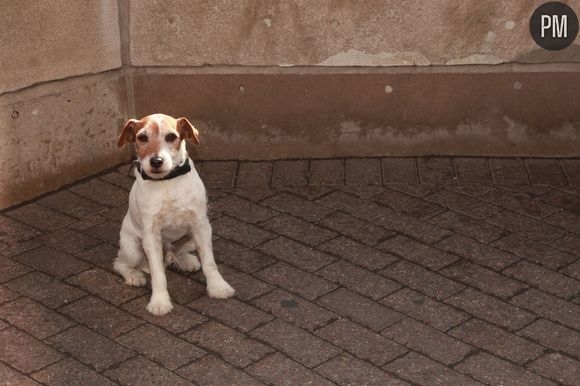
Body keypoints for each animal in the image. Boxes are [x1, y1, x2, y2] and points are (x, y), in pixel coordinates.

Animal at [113, 113, 233, 316]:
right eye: (142, 138)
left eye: (171, 137)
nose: (156, 161)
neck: (167, 181)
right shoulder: (151, 235)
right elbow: (158, 274)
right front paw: (160, 302)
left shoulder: (201, 226)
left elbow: (209, 262)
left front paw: (218, 287)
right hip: (133, 248)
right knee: (119, 263)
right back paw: (134, 275)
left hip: (193, 237)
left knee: (177, 252)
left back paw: (185, 260)